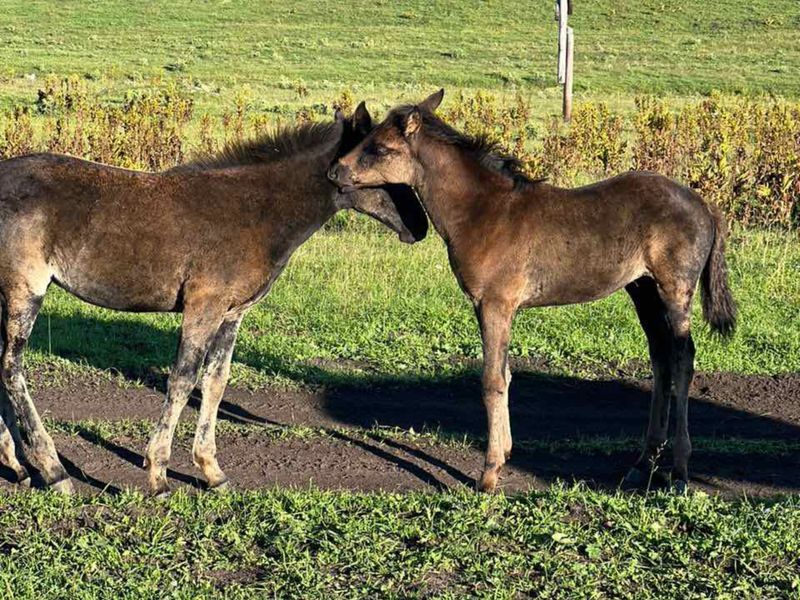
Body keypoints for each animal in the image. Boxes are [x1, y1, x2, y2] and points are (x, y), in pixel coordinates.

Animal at [0, 103, 427, 495]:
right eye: (384, 172)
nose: (420, 228)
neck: (255, 212)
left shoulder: (232, 313)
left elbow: (215, 382)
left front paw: (212, 471)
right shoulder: (203, 306)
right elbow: (183, 379)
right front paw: (158, 475)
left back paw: (17, 465)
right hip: (25, 290)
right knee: (11, 367)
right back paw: (53, 470)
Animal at [329, 90, 737, 493]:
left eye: (379, 148)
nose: (334, 171)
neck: (482, 211)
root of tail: (705, 205)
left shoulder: (494, 304)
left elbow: (492, 380)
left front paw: (489, 474)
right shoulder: (496, 307)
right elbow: (506, 374)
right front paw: (506, 452)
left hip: (674, 289)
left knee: (683, 358)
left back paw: (680, 472)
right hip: (643, 291)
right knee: (661, 358)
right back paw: (642, 464)